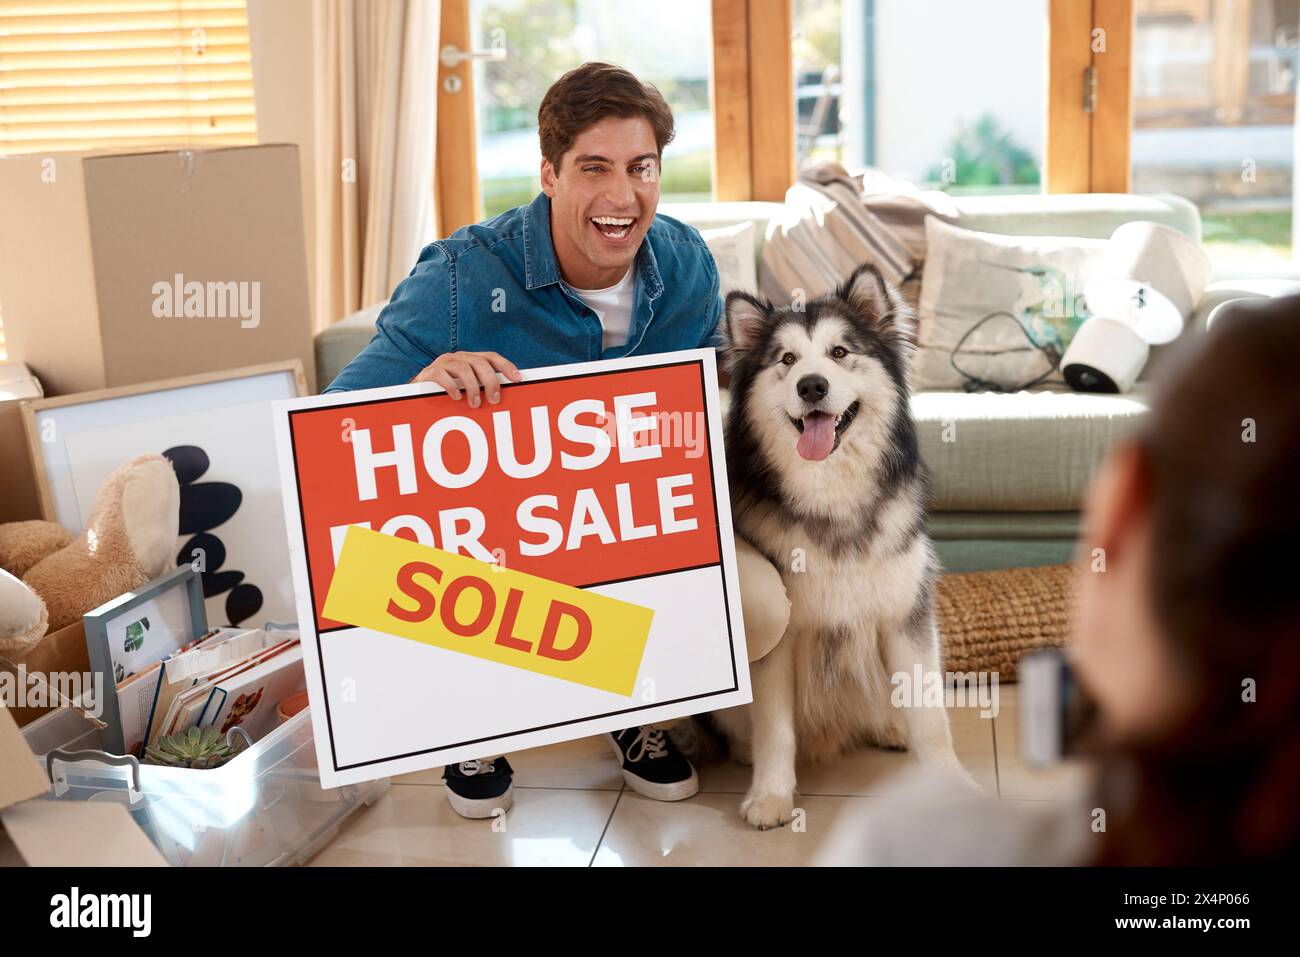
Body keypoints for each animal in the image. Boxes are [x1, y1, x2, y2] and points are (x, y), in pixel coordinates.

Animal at [707, 263, 972, 832]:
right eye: (786, 360)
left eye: (840, 352)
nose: (812, 385)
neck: (833, 496)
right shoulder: (780, 641)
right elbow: (775, 726)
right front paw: (771, 795)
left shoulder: (906, 616)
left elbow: (930, 716)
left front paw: (949, 785)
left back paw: (891, 728)